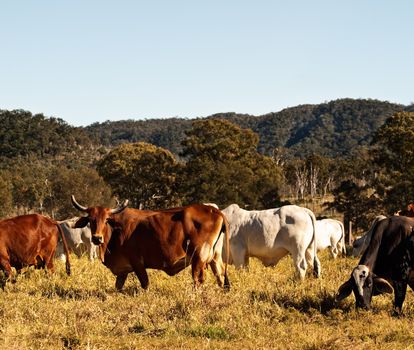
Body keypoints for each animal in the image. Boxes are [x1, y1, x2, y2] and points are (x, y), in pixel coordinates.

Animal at [69, 197, 228, 290]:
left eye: (107, 219)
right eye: (91, 220)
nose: (97, 238)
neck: (115, 231)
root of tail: (214, 210)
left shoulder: (137, 263)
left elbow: (145, 283)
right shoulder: (123, 270)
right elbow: (118, 286)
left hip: (199, 257)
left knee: (198, 279)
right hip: (214, 257)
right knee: (220, 276)